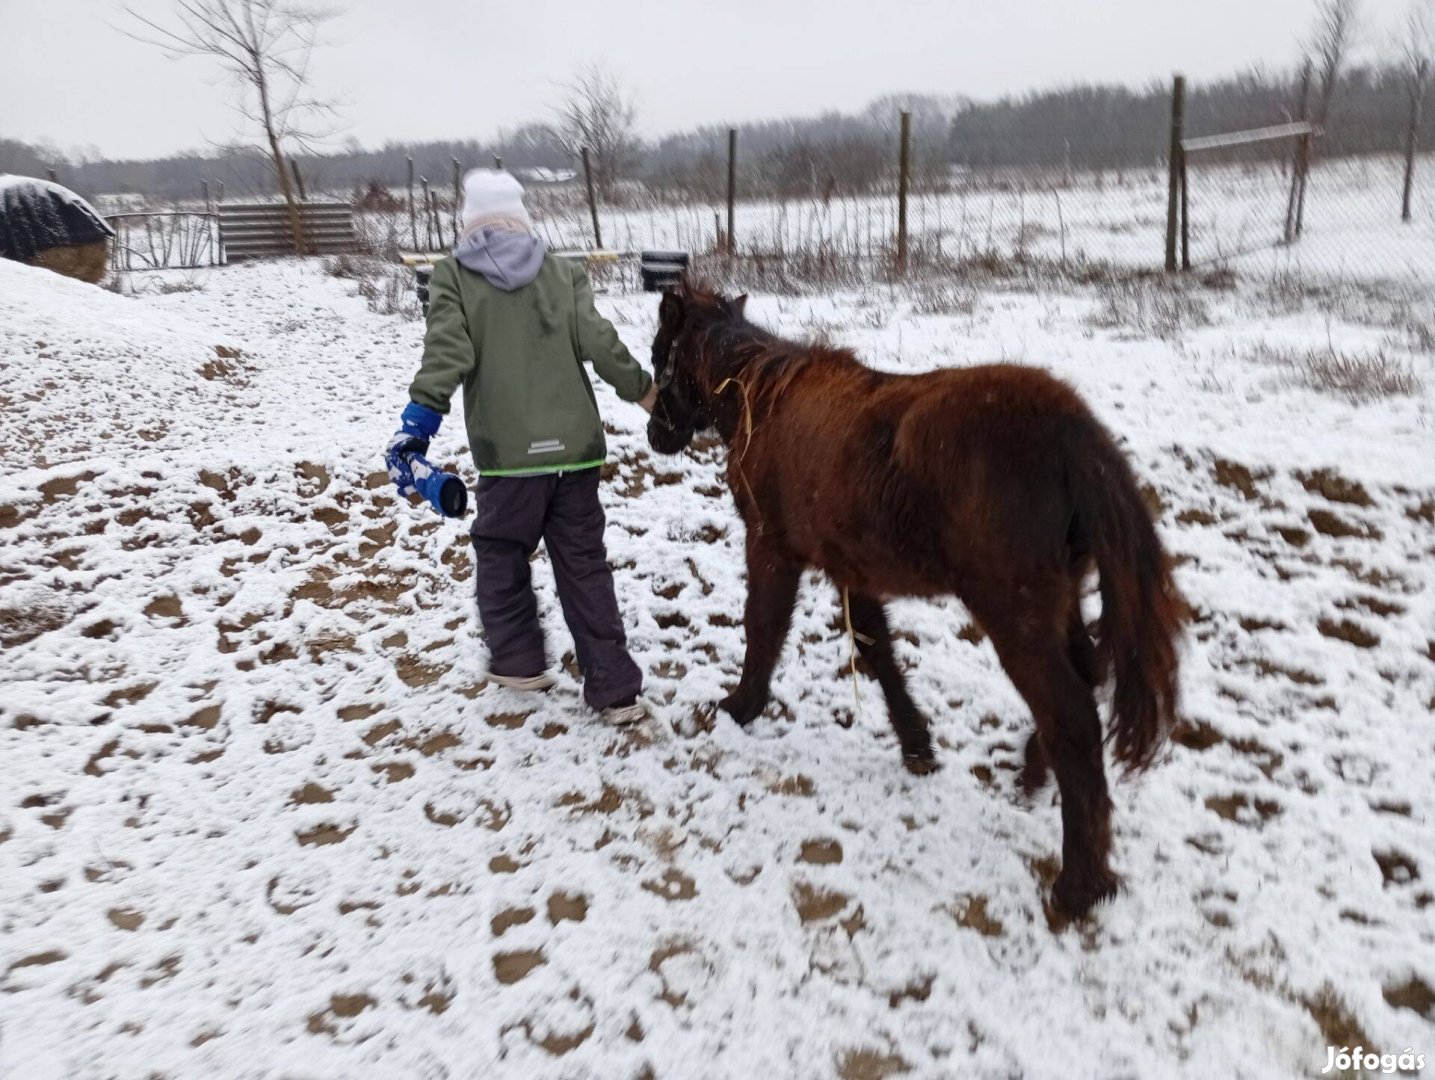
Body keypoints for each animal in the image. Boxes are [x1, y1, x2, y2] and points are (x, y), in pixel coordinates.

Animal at [651, 273, 1188, 912]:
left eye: (659, 353)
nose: (656, 434)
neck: (761, 396)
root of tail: (1072, 432)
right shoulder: (852, 570)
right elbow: (876, 650)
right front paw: (917, 747)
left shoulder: (771, 549)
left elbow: (763, 626)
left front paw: (740, 706)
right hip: (1059, 601)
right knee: (1087, 670)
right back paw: (1033, 774)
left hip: (1015, 616)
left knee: (1074, 717)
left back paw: (1079, 884)